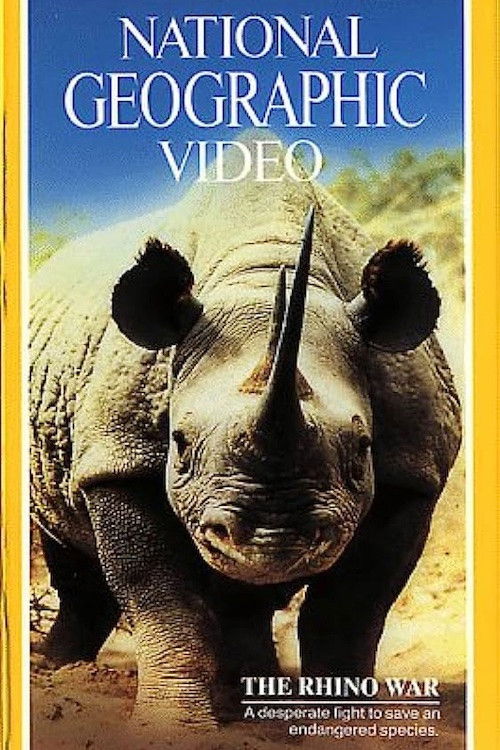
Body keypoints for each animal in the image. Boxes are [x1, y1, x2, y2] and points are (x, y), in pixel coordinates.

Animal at [30, 138, 461, 731]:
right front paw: (174, 727)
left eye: (362, 451)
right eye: (180, 446)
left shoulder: (413, 469)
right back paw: (56, 670)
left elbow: (352, 608)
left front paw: (340, 727)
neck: (260, 270)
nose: (270, 540)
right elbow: (162, 598)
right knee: (69, 551)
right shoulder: (116, 455)